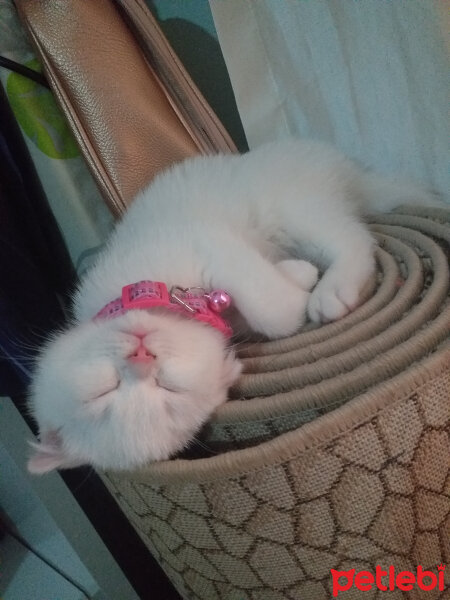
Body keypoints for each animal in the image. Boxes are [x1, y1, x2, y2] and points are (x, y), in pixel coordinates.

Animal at [27, 139, 436, 474]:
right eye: (168, 391)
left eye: (103, 389)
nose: (141, 355)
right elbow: (276, 308)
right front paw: (296, 276)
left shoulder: (203, 240)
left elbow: (275, 312)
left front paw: (300, 279)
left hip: (291, 206)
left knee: (353, 238)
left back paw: (332, 287)